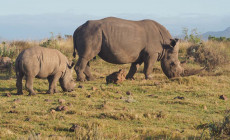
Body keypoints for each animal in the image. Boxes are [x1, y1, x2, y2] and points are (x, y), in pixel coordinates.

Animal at [73, 17, 201, 81]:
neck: (166, 45)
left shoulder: (140, 53)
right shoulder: (152, 53)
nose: (176, 77)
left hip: (91, 33)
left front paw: (130, 78)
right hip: (91, 33)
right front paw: (150, 78)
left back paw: (91, 79)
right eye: (173, 64)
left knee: (86, 57)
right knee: (86, 57)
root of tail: (77, 29)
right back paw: (82, 80)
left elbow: (135, 66)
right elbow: (148, 66)